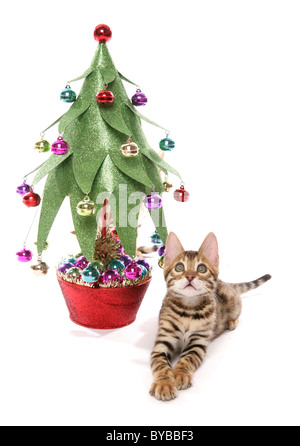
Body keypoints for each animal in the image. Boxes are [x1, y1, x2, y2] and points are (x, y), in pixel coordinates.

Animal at [150, 232, 272, 402]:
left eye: (201, 268)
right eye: (179, 267)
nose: (189, 276)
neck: (188, 310)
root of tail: (225, 283)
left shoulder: (198, 342)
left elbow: (187, 359)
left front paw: (180, 374)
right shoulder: (163, 341)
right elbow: (160, 364)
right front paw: (165, 384)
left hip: (234, 303)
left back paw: (232, 322)